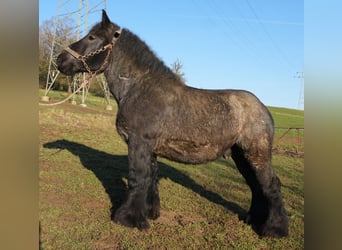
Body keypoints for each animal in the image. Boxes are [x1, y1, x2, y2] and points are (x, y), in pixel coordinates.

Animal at [56, 9, 288, 237]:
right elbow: (150, 179)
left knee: (271, 185)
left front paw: (127, 218)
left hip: (256, 154)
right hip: (241, 156)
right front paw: (148, 213)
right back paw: (254, 219)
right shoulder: (149, 149)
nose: (60, 59)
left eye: (92, 37)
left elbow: (137, 178)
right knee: (256, 186)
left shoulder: (138, 143)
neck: (138, 87)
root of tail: (264, 109)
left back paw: (274, 229)